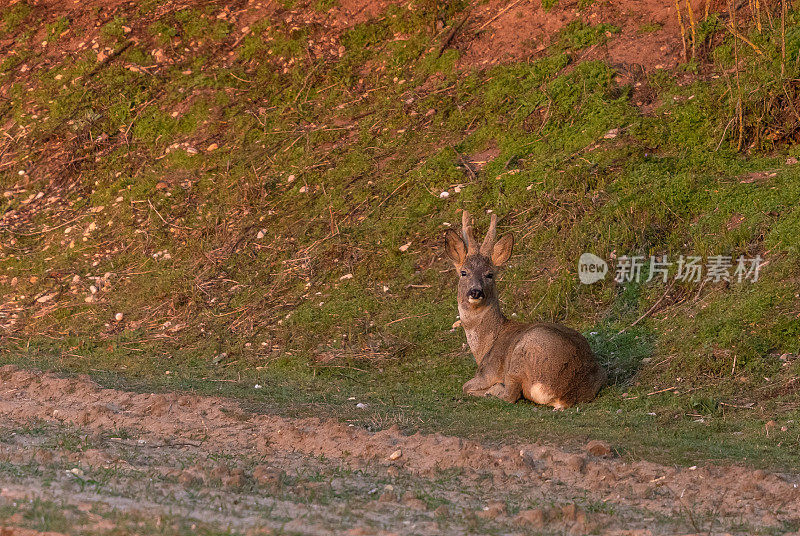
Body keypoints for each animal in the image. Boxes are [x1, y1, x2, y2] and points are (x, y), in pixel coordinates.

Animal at [440, 210, 604, 410]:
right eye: (464, 272)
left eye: (490, 274)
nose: (476, 291)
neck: (484, 347)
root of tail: (567, 394)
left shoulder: (488, 371)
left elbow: (466, 386)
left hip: (520, 356)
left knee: (510, 395)